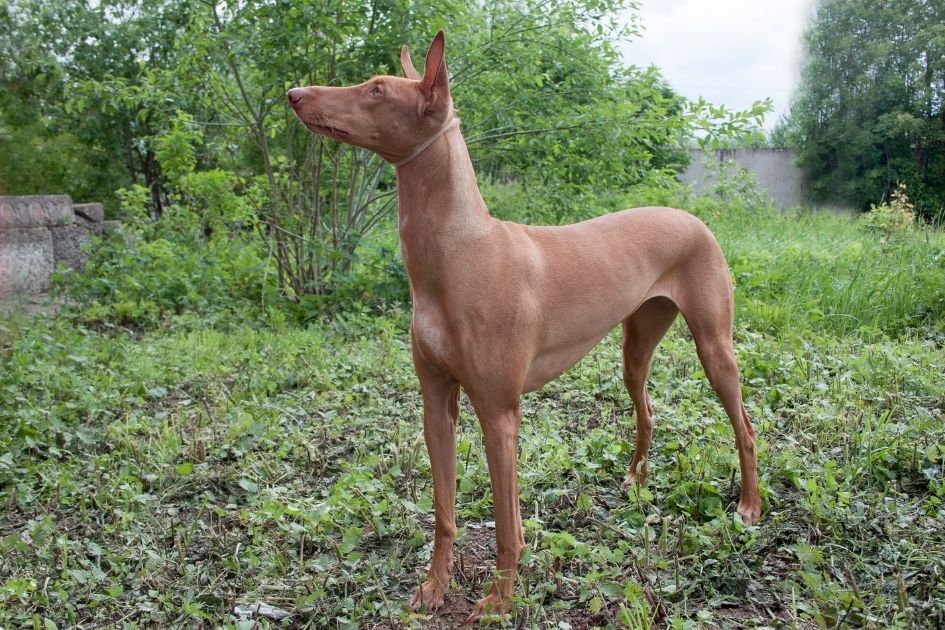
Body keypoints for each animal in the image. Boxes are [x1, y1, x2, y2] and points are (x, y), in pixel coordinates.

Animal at [288, 29, 760, 624]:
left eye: (375, 90)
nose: (294, 93)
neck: (460, 253)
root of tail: (693, 217)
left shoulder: (499, 415)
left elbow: (507, 527)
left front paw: (500, 601)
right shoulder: (437, 406)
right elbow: (444, 511)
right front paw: (435, 588)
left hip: (715, 349)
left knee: (745, 428)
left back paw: (749, 506)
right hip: (634, 350)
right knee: (648, 409)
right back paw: (635, 479)